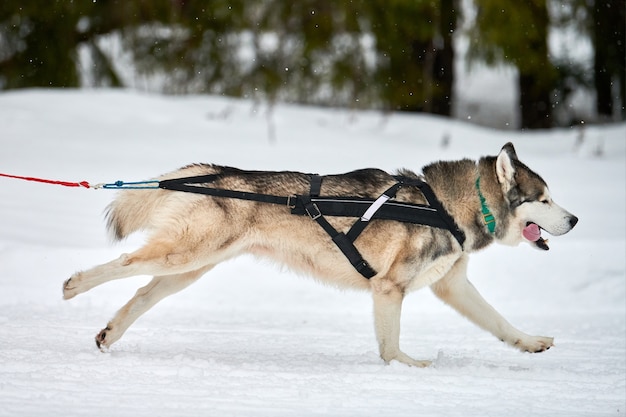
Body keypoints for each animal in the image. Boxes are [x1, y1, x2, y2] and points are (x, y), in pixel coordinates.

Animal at [63, 142, 576, 364]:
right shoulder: (389, 289)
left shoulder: (453, 286)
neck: (446, 206)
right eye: (544, 198)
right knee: (121, 266)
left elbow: (499, 323)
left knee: (140, 295)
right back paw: (73, 284)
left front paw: (530, 342)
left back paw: (109, 333)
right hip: (184, 256)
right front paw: (407, 368)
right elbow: (390, 347)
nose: (573, 220)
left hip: (189, 269)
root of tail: (215, 171)